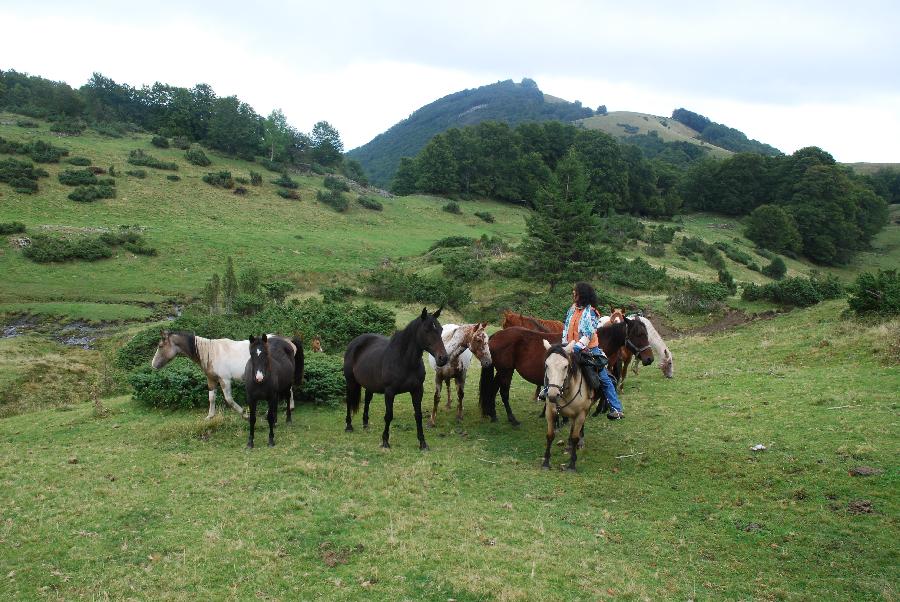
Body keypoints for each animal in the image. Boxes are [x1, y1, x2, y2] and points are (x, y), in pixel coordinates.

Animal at [149, 328, 302, 418]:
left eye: (160, 346)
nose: (153, 365)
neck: (210, 352)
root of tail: (288, 341)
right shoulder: (211, 379)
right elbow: (211, 398)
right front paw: (210, 417)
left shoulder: (225, 380)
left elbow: (229, 399)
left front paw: (244, 414)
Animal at [342, 308, 448, 448]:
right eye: (426, 330)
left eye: (441, 329)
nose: (443, 358)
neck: (404, 361)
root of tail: (354, 342)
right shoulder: (390, 392)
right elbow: (389, 415)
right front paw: (385, 441)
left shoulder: (417, 390)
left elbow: (418, 415)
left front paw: (422, 443)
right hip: (350, 381)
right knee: (349, 400)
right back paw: (349, 426)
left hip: (370, 384)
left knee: (367, 400)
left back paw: (365, 424)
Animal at [478, 318, 652, 422]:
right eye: (639, 334)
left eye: (646, 333)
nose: (649, 358)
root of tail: (495, 336)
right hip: (506, 371)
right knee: (503, 392)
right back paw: (511, 419)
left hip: (502, 371)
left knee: (492, 389)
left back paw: (492, 414)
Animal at [540, 340, 596, 472]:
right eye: (547, 365)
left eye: (565, 366)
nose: (552, 395)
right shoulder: (550, 412)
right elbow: (550, 436)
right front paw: (546, 462)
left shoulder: (581, 414)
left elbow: (575, 436)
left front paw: (572, 465)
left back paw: (580, 442)